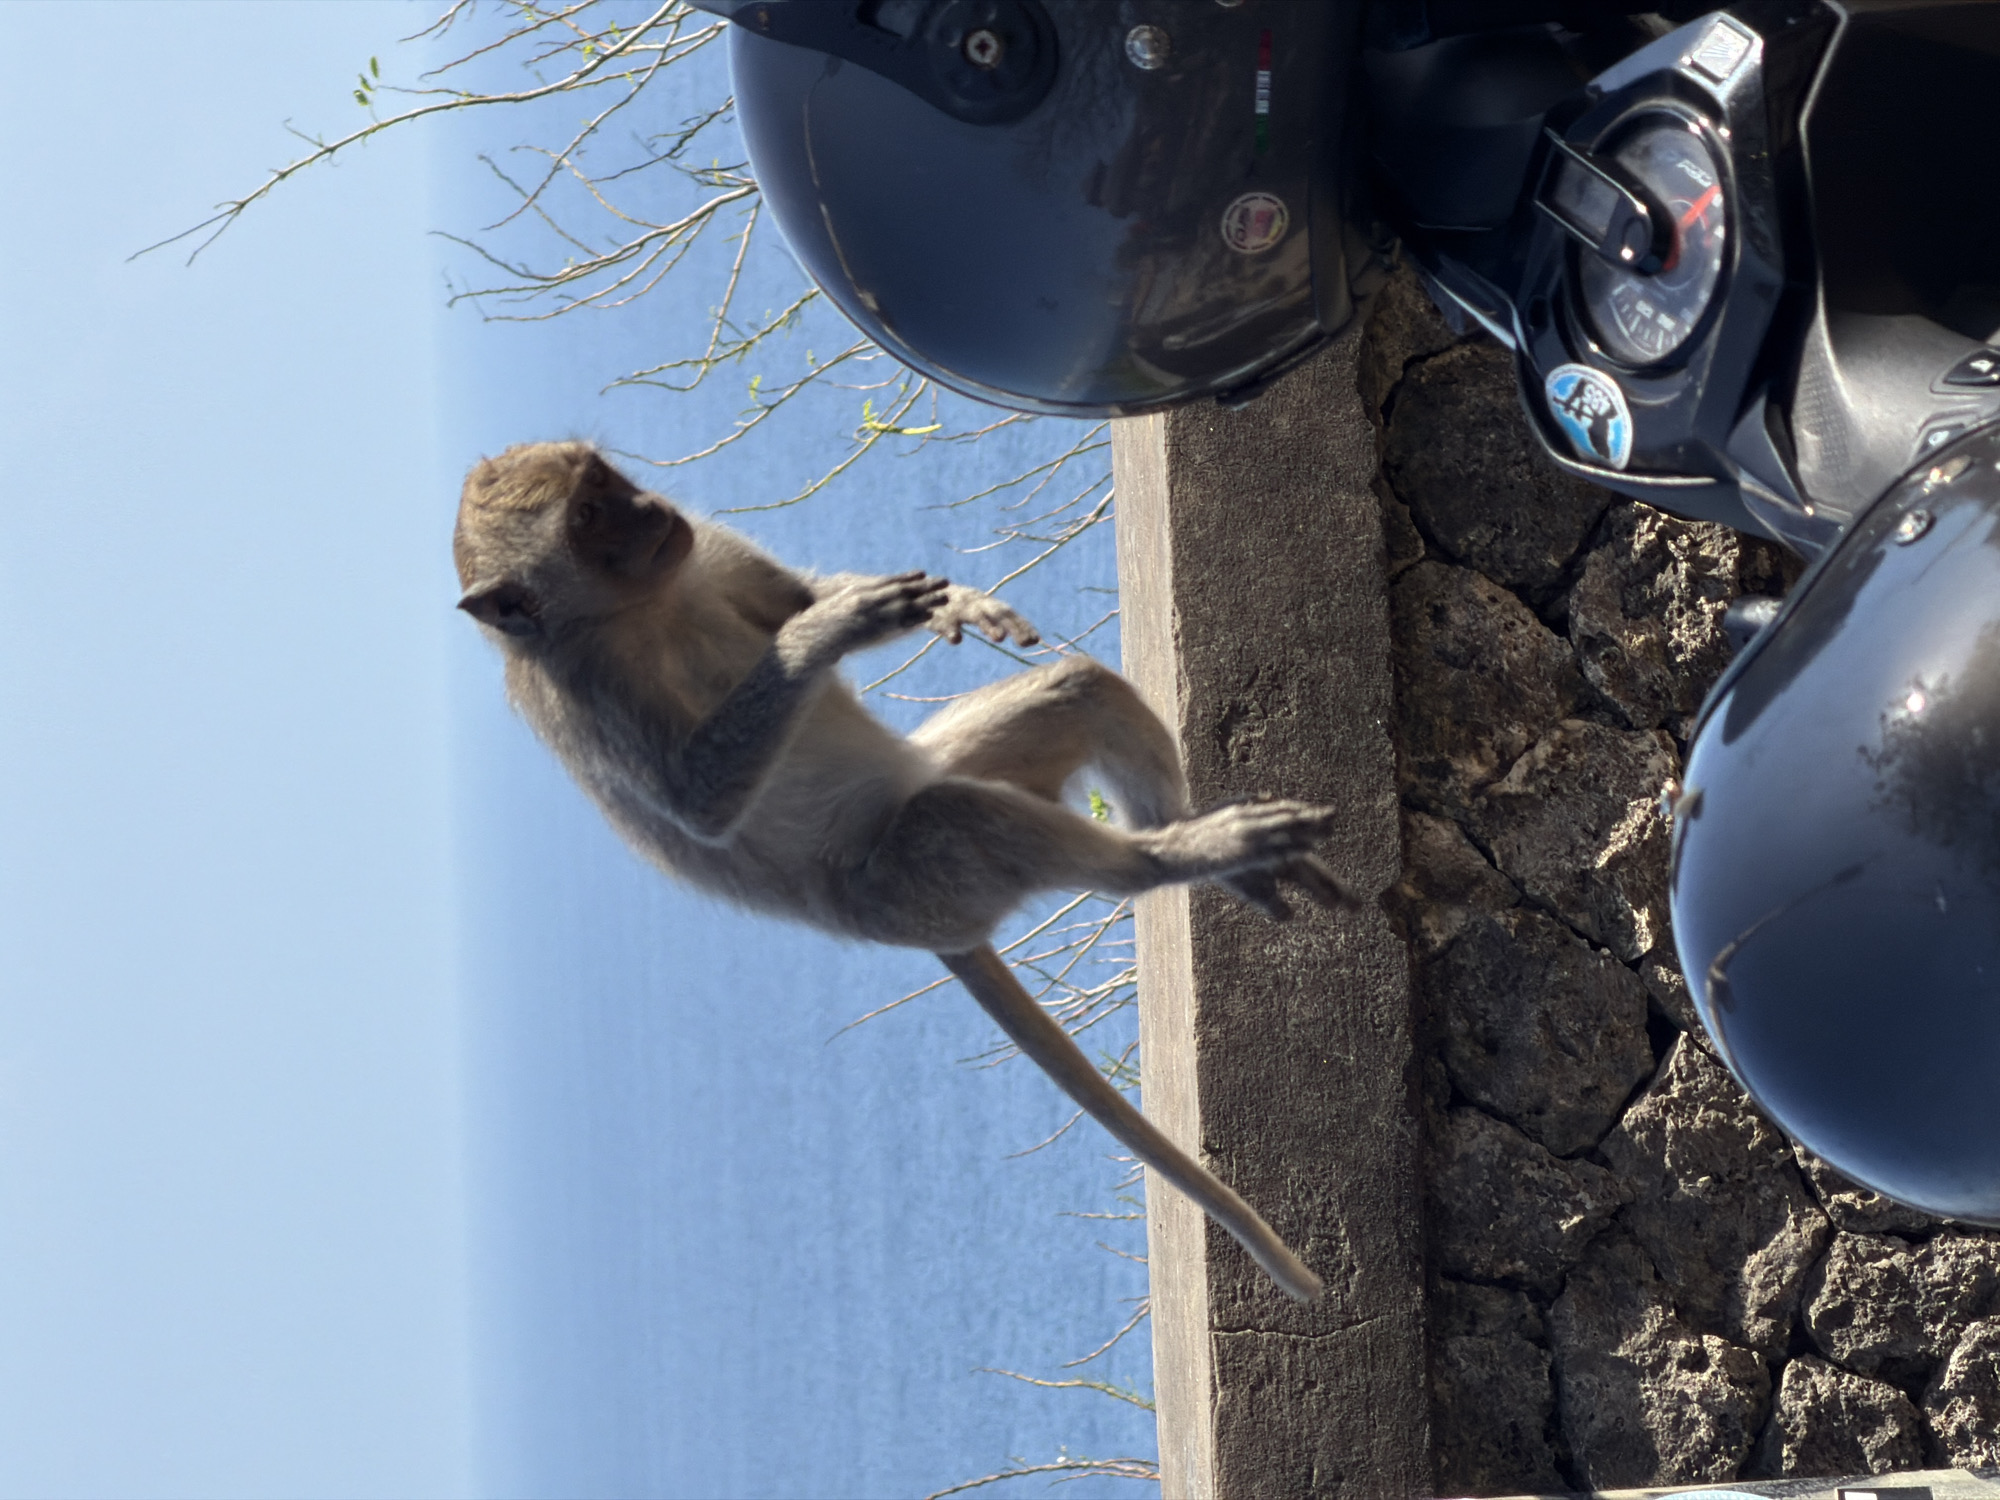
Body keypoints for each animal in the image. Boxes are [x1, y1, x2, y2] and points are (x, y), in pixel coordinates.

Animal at [454, 441, 1355, 1302]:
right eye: (589, 515)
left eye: (603, 480)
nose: (647, 508)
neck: (639, 607)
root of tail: (938, 937)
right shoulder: (587, 691)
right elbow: (702, 803)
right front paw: (826, 635)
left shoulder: (702, 548)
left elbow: (795, 594)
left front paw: (941, 605)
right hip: (912, 887)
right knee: (954, 817)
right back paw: (1174, 856)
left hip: (946, 766)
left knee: (1071, 690)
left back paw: (1196, 840)